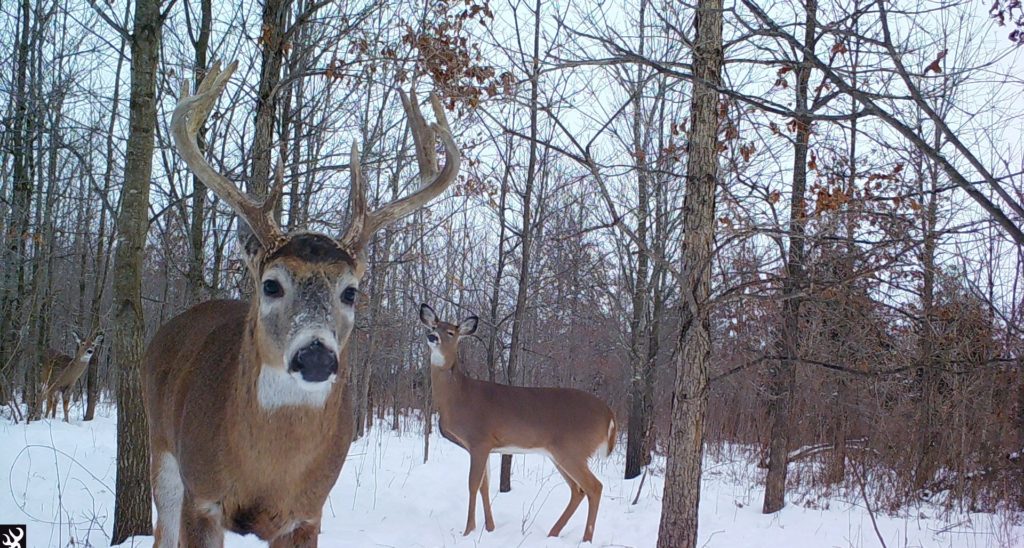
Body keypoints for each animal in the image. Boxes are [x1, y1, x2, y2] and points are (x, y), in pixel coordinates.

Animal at [145, 61, 460, 548]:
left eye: (351, 290)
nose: (315, 355)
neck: (266, 472)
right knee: (162, 529)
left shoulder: (307, 512)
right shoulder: (203, 495)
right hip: (161, 448)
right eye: (271, 284)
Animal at [417, 305, 614, 544]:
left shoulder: (479, 440)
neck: (458, 397)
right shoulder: (485, 447)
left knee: (594, 487)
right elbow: (484, 486)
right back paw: (553, 533)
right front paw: (490, 528)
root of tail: (609, 414)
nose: (432, 336)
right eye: (434, 326)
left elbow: (473, 484)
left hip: (573, 450)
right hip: (560, 453)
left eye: (451, 332)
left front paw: (468, 530)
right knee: (578, 490)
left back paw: (585, 539)